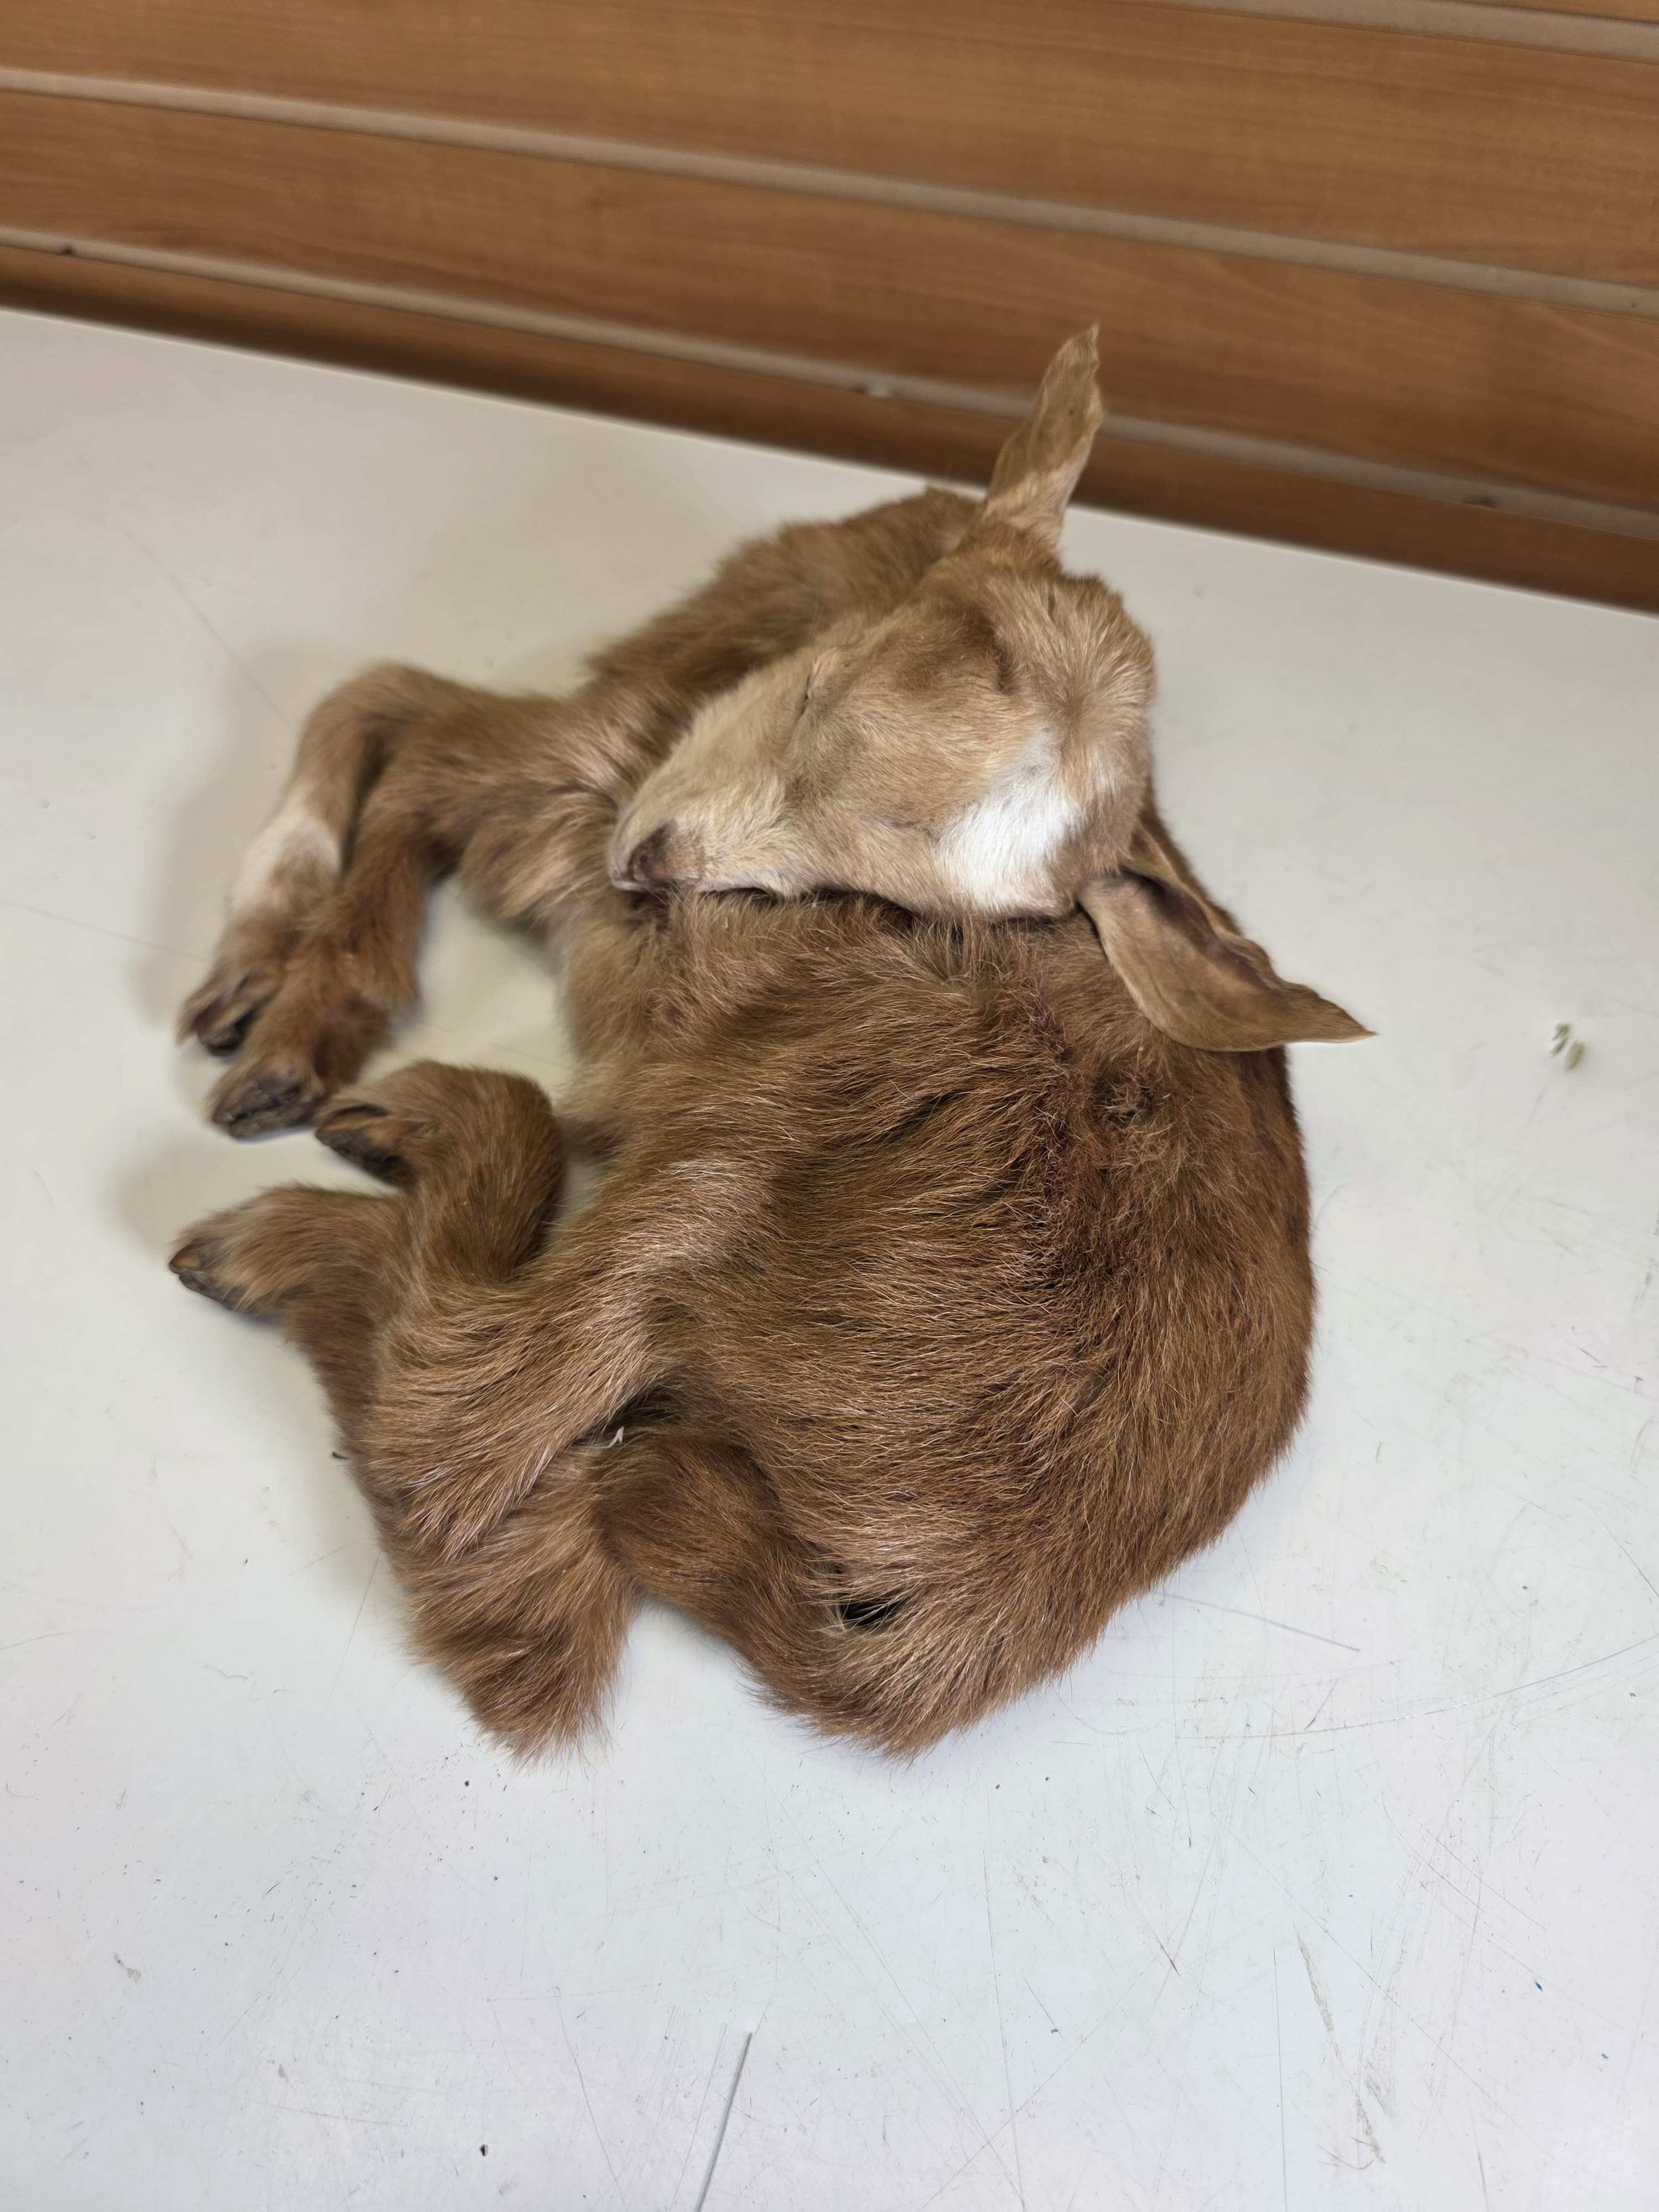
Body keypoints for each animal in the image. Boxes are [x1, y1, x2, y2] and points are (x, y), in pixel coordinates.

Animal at [169, 331, 1366, 1755]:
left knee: (456, 1440)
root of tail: (949, 1630)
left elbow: (384, 716)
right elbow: (386, 722)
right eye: (817, 686)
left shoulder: (567, 783)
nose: (649, 867)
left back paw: (338, 1182)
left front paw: (293, 1000)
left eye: (899, 885)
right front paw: (269, 970)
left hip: (715, 1177)